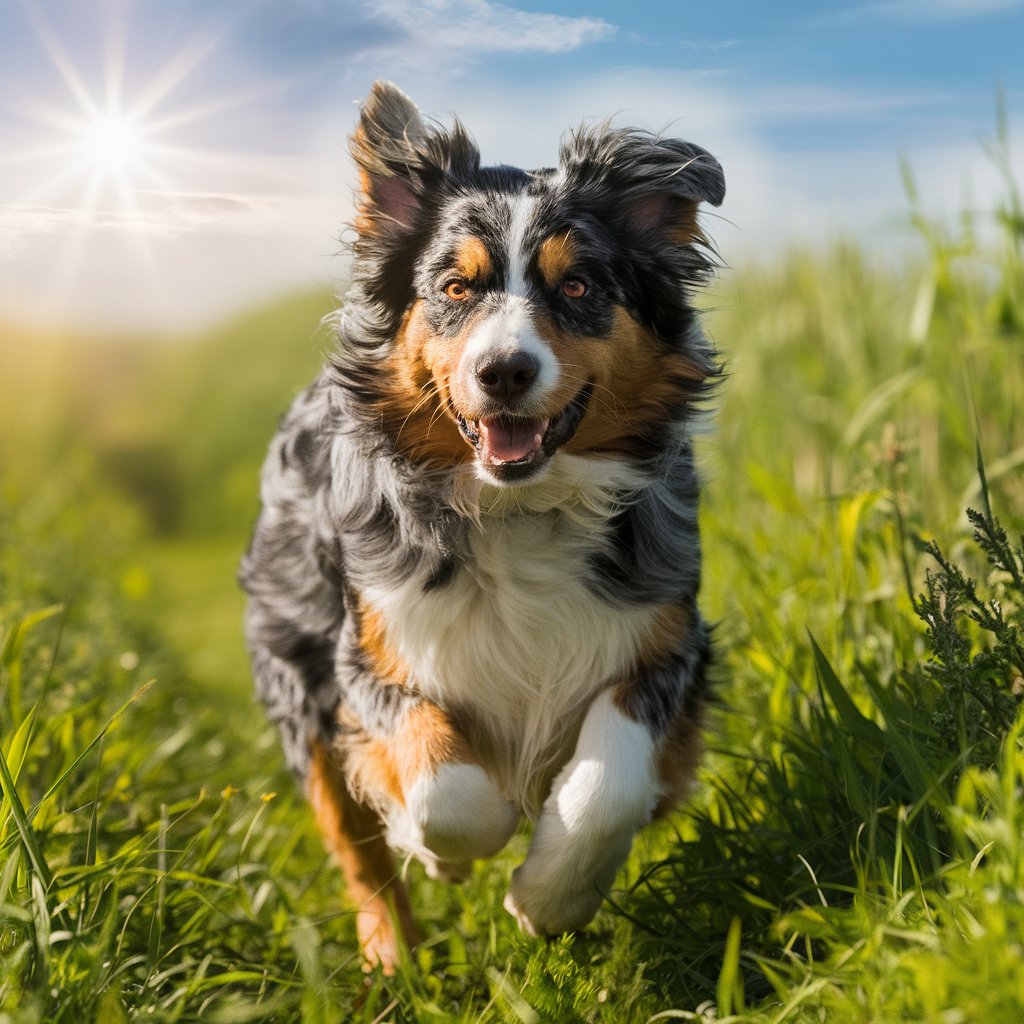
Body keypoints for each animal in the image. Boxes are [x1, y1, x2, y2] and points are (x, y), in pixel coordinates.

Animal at [238, 79, 720, 966]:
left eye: (579, 288)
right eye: (456, 289)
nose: (504, 371)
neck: (516, 507)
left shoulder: (666, 640)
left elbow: (607, 788)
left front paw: (548, 899)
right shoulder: (367, 657)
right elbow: (446, 791)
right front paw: (453, 847)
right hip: (296, 668)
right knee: (354, 848)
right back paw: (391, 955)